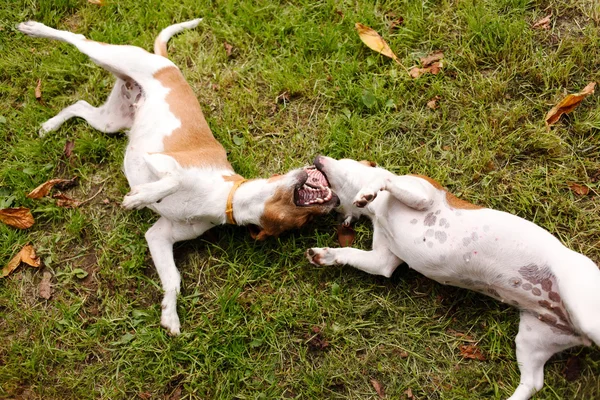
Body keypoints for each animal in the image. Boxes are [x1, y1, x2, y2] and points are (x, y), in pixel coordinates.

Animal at [17, 20, 338, 336]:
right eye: (306, 219)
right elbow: (172, 180)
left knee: (79, 105)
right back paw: (34, 29)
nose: (334, 202)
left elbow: (173, 279)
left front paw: (170, 313)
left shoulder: (160, 235)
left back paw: (49, 126)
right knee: (78, 39)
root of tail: (169, 63)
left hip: (110, 121)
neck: (224, 199)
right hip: (110, 57)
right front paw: (140, 198)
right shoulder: (158, 159)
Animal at [308, 155, 596, 400]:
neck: (377, 211)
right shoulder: (383, 261)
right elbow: (352, 254)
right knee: (533, 383)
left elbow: (384, 179)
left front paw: (368, 191)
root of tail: (576, 330)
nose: (316, 158)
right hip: (532, 339)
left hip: (582, 311)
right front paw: (326, 254)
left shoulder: (422, 193)